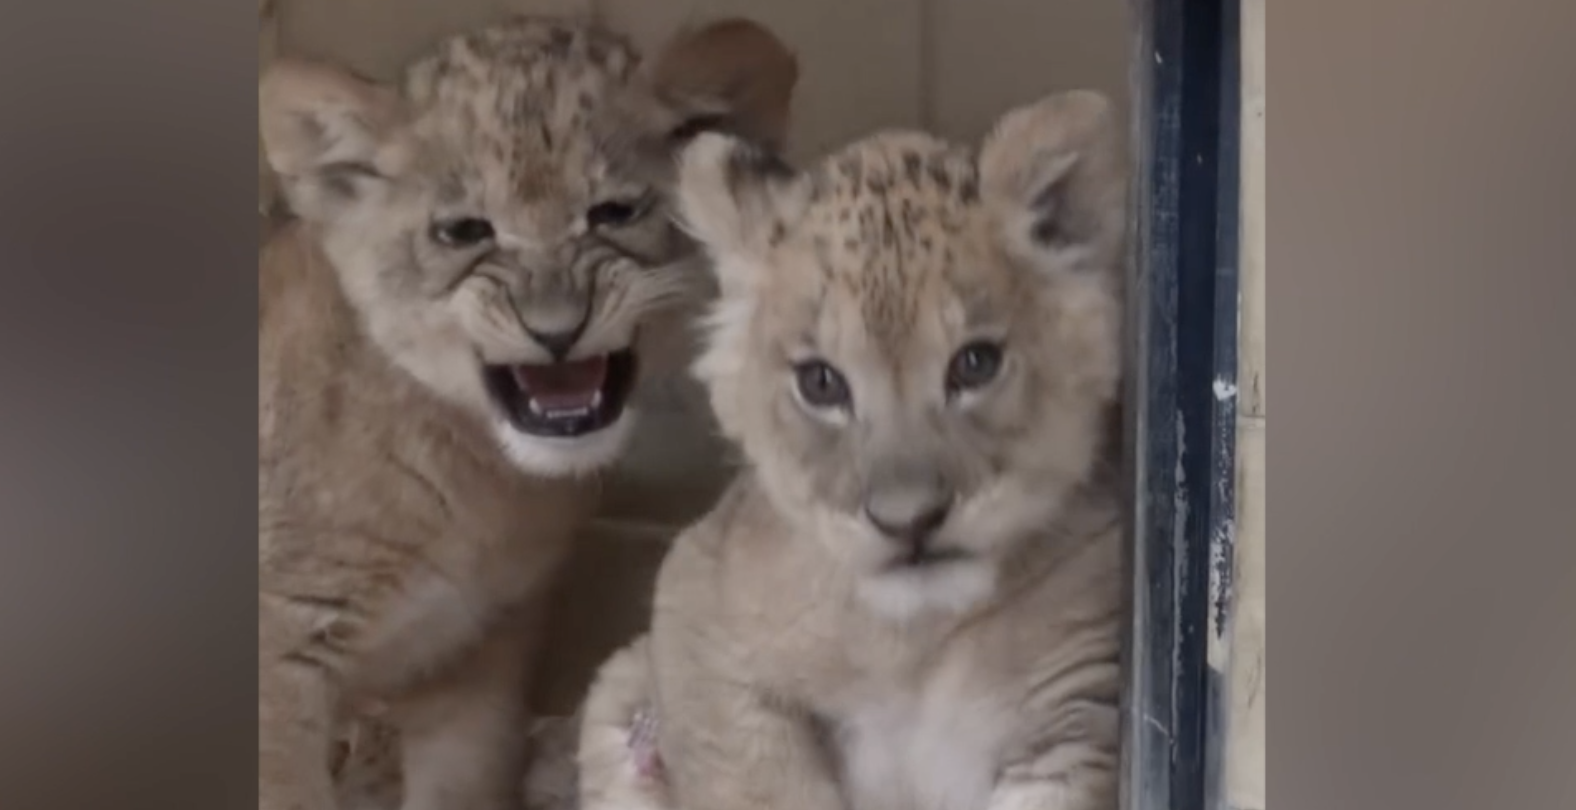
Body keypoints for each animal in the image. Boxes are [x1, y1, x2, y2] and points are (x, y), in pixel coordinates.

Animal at [258, 15, 798, 810]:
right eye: (464, 231)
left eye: (615, 212)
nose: (556, 330)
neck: (482, 485)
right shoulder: (281, 654)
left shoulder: (484, 648)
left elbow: (464, 781)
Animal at [575, 90, 1129, 810]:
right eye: (820, 383)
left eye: (975, 364)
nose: (909, 522)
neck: (913, 644)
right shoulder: (694, 601)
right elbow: (758, 778)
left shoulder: (1073, 715)